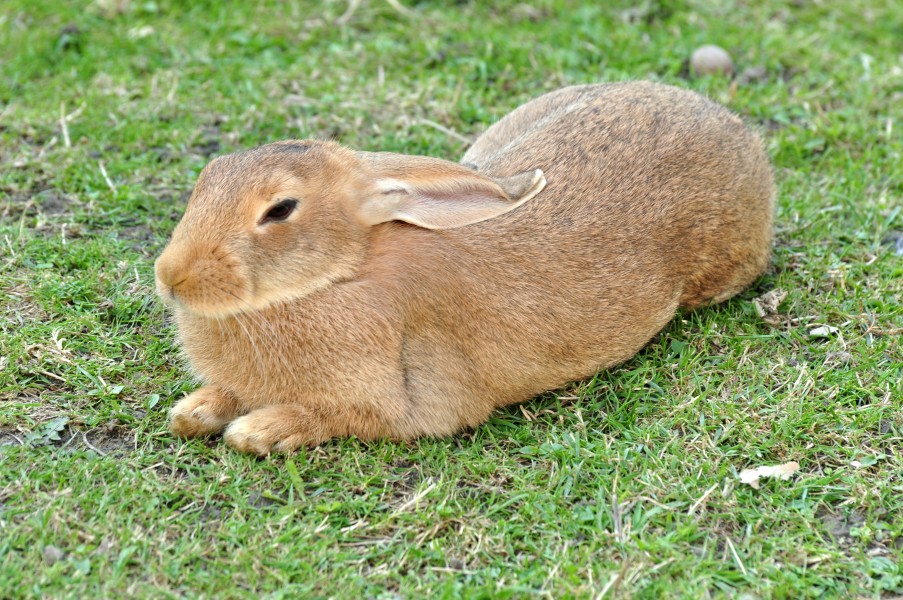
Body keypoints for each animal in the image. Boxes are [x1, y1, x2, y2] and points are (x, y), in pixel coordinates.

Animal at [157, 79, 776, 454]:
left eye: (281, 209)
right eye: (208, 175)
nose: (170, 278)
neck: (339, 274)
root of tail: (735, 129)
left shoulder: (401, 407)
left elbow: (332, 417)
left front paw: (257, 430)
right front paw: (193, 412)